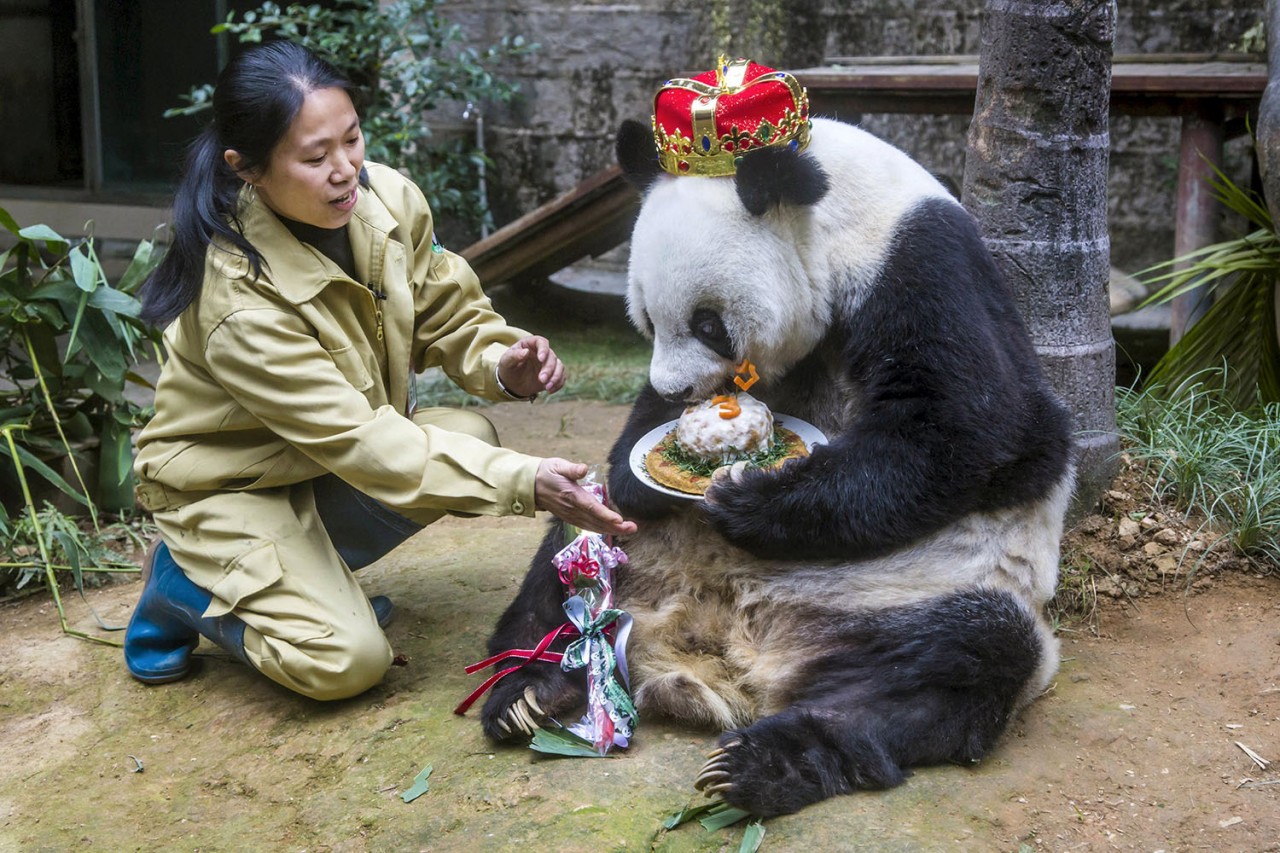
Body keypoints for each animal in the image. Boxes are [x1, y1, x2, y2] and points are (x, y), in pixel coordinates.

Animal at [476, 109, 1075, 814]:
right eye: (646, 317)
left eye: (708, 324)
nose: (680, 389)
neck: (834, 214)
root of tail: (723, 647)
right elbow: (639, 436)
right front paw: (645, 471)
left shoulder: (923, 265)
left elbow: (976, 426)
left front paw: (753, 503)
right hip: (630, 551)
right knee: (562, 552)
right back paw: (528, 689)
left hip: (932, 586)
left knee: (957, 663)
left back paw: (767, 762)